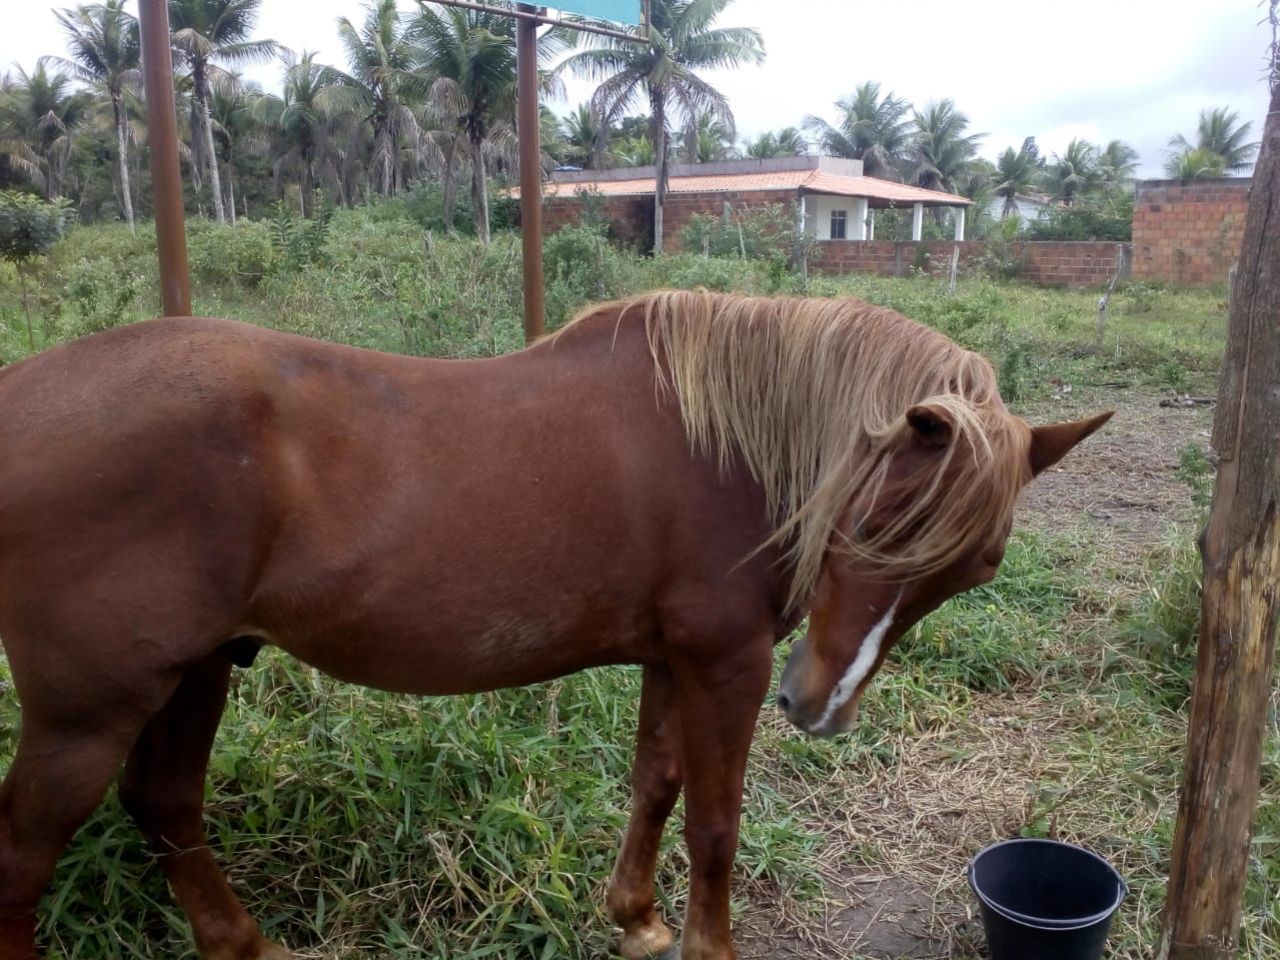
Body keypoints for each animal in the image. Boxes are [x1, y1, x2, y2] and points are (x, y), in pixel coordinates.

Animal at [0, 289, 1110, 960]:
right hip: (89, 714)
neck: (724, 441)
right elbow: (714, 823)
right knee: (28, 850)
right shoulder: (728, 664)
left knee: (165, 806)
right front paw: (704, 941)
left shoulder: (673, 661)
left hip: (197, 670)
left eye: (974, 567)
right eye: (877, 518)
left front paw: (639, 922)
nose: (818, 705)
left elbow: (656, 787)